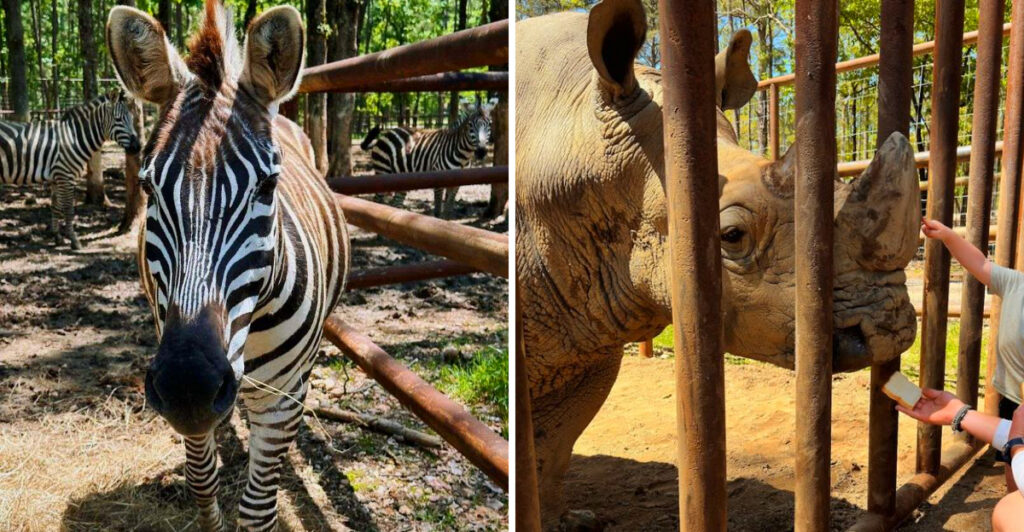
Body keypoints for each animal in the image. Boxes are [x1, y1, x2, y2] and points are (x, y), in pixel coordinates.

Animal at [0, 91, 140, 249]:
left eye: (131, 119)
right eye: (118, 119)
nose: (137, 147)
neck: (74, 139)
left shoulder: (56, 177)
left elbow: (55, 206)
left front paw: (57, 237)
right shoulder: (65, 176)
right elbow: (68, 208)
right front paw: (74, 241)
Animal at [107, 3, 347, 530]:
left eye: (268, 186)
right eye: (150, 189)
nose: (188, 386)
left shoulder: (283, 398)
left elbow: (258, 511)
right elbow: (202, 482)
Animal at [360, 106, 492, 218]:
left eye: (490, 124)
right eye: (470, 125)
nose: (481, 151)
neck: (463, 156)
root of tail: (387, 132)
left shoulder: (456, 185)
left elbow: (448, 210)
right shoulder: (438, 180)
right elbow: (438, 210)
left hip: (400, 178)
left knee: (395, 204)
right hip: (382, 172)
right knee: (377, 201)